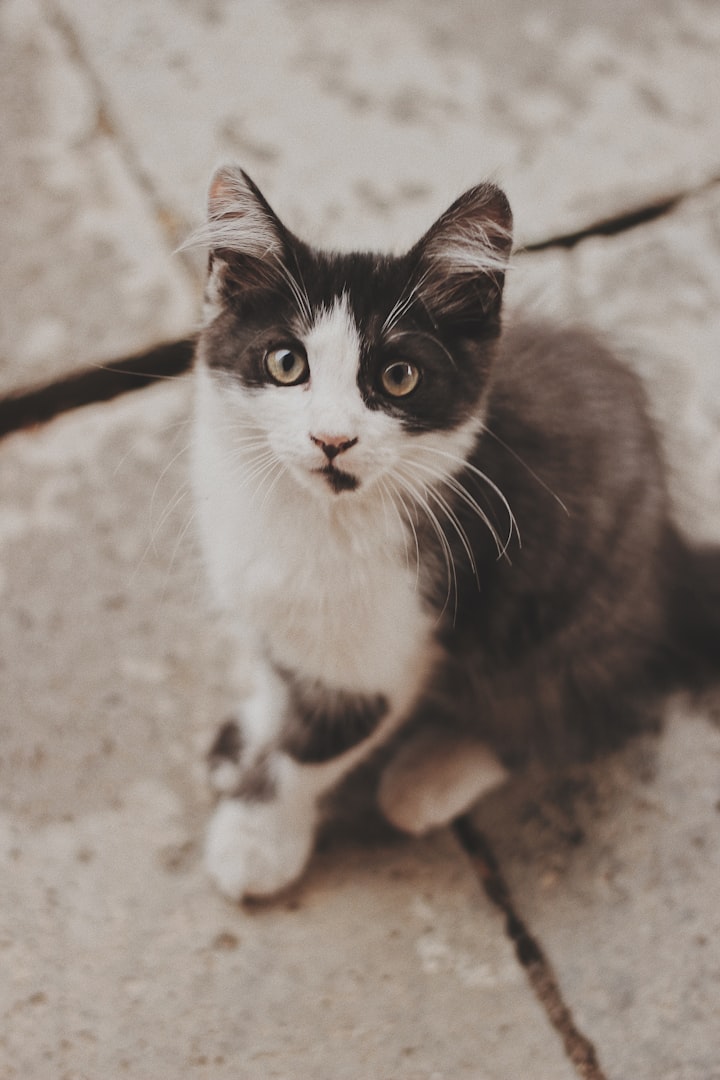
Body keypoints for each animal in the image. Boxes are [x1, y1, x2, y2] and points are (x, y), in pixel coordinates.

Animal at [187, 162, 720, 902]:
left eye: (398, 377)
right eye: (285, 363)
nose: (332, 439)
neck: (310, 517)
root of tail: (669, 558)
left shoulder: (387, 648)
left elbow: (313, 748)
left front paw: (257, 838)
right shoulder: (266, 604)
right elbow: (278, 675)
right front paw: (252, 734)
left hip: (575, 613)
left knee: (570, 712)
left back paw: (431, 774)